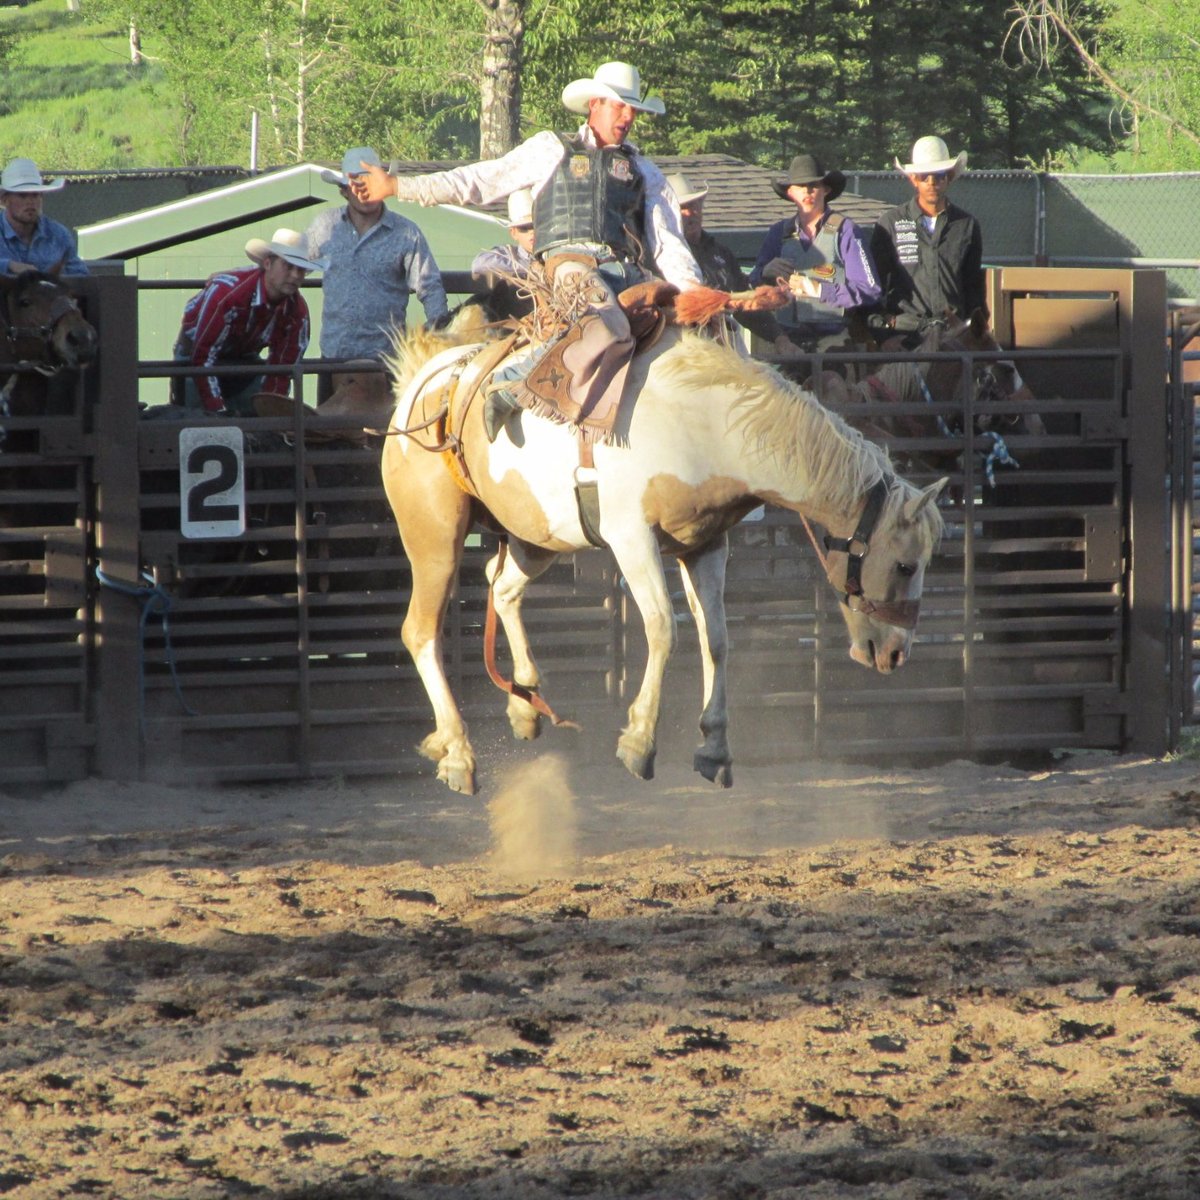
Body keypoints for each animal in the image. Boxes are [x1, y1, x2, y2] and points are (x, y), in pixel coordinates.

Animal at [384, 328, 945, 796]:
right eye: (905, 566)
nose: (897, 653)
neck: (703, 426)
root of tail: (424, 383)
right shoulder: (632, 539)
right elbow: (662, 629)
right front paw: (639, 742)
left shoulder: (705, 546)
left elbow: (716, 639)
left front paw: (714, 749)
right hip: (434, 539)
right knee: (421, 631)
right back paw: (458, 752)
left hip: (537, 538)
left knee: (500, 587)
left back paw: (522, 705)